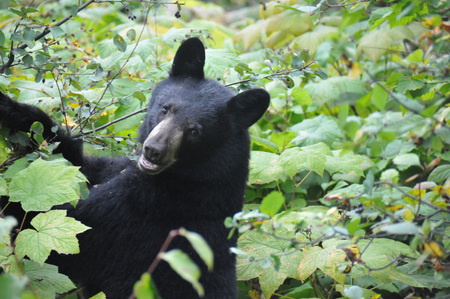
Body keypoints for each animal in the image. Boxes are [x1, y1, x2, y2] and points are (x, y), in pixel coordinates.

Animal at [0, 38, 270, 298]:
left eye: (195, 131)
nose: (153, 149)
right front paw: (14, 111)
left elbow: (56, 222)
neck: (185, 178)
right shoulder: (113, 168)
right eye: (165, 108)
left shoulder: (140, 213)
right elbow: (74, 165)